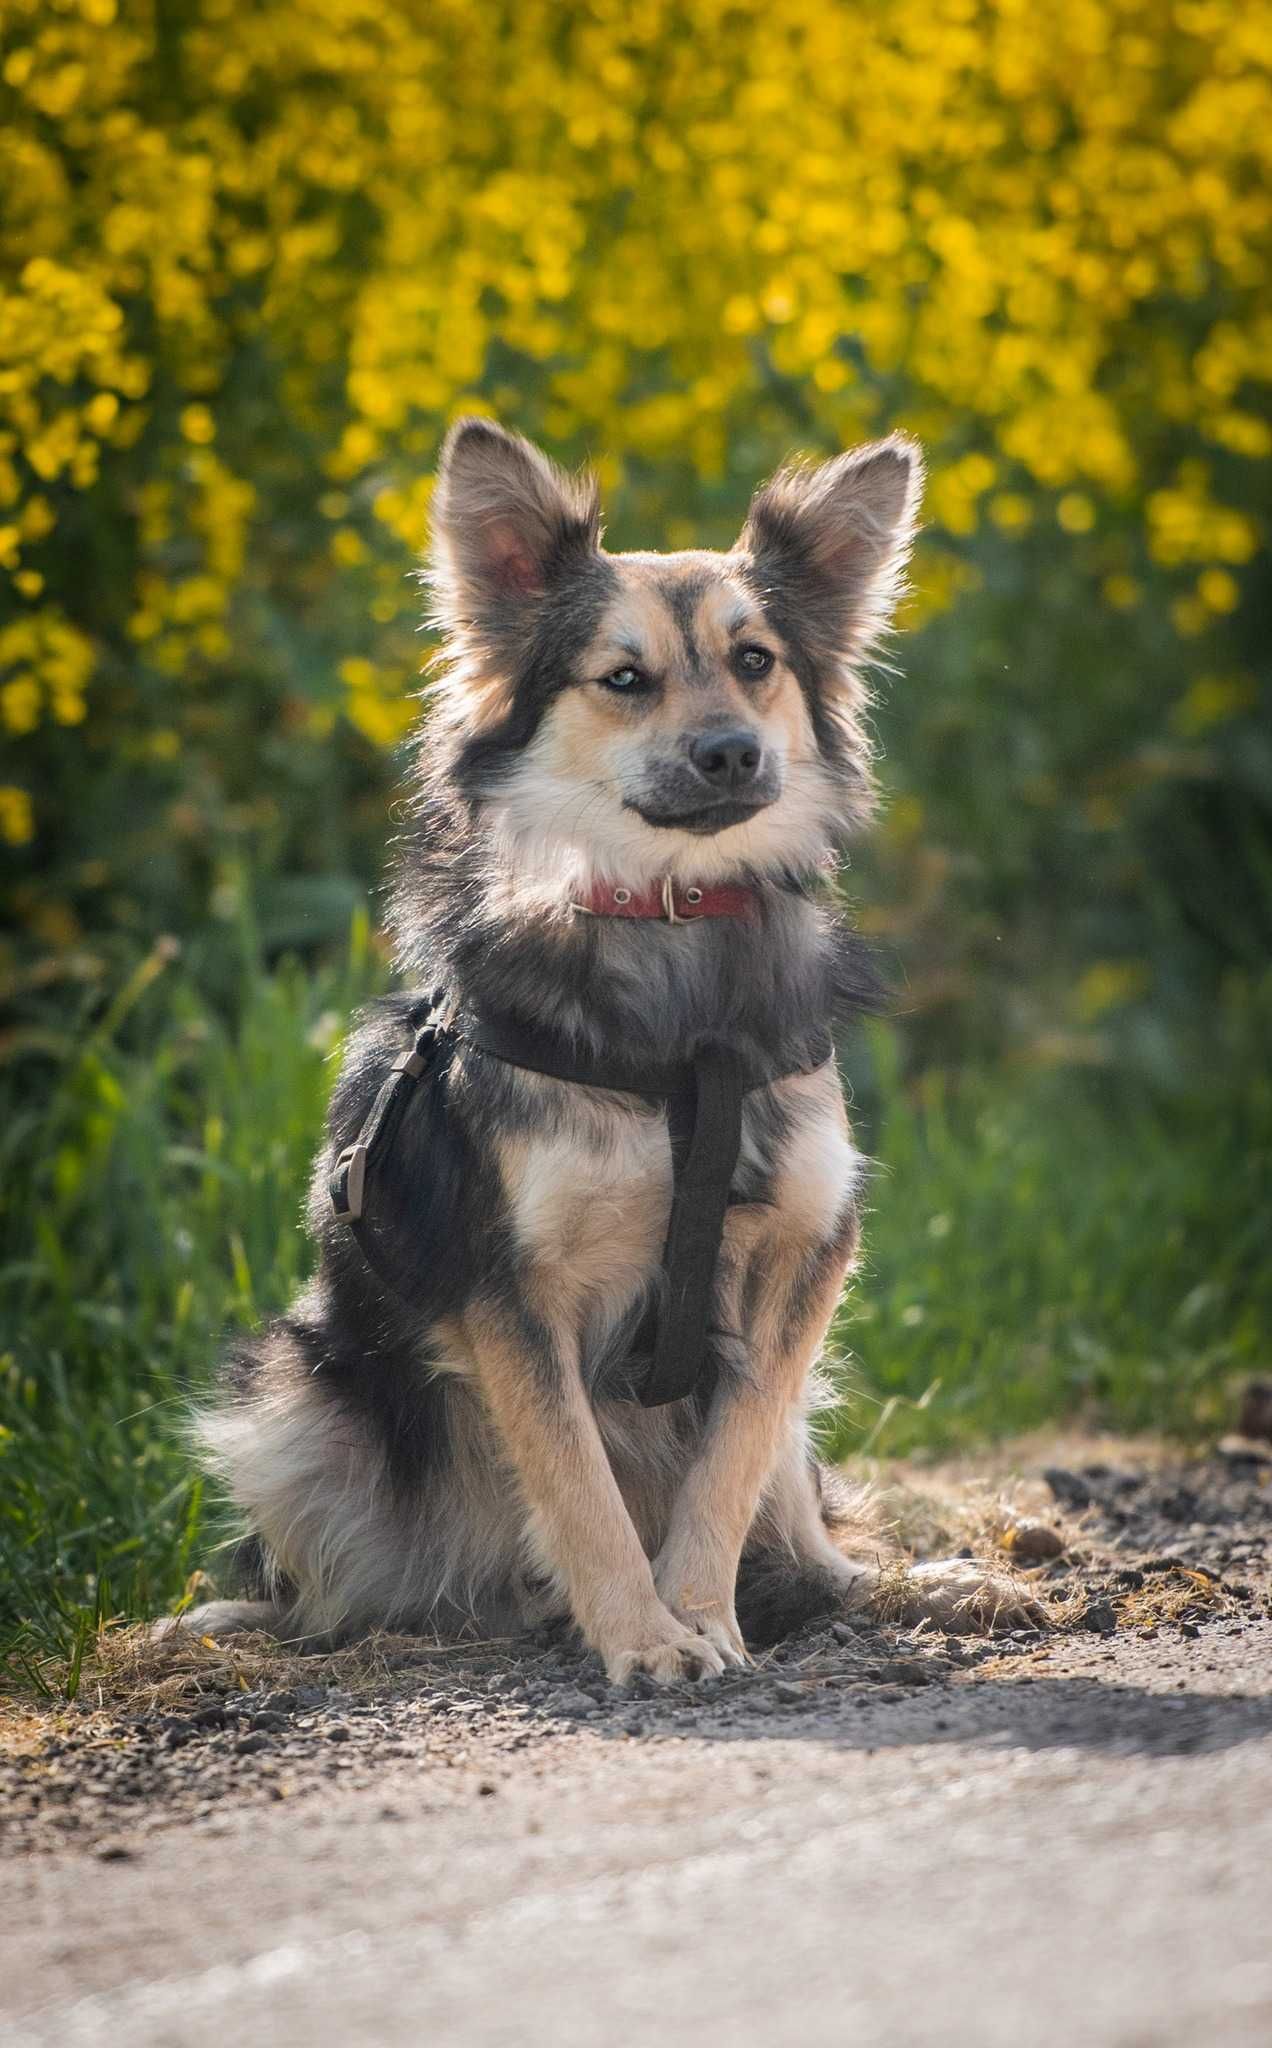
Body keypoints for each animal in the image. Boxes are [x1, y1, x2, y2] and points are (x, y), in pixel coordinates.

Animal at [181, 419, 1040, 1679]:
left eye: (756, 660)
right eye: (623, 678)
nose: (730, 753)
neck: (674, 927)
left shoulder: (804, 1250)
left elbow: (733, 1458)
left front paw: (701, 1610)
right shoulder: (506, 1284)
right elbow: (576, 1477)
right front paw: (642, 1633)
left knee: (798, 1504)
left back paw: (909, 1582)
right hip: (292, 1393)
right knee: (360, 1578)